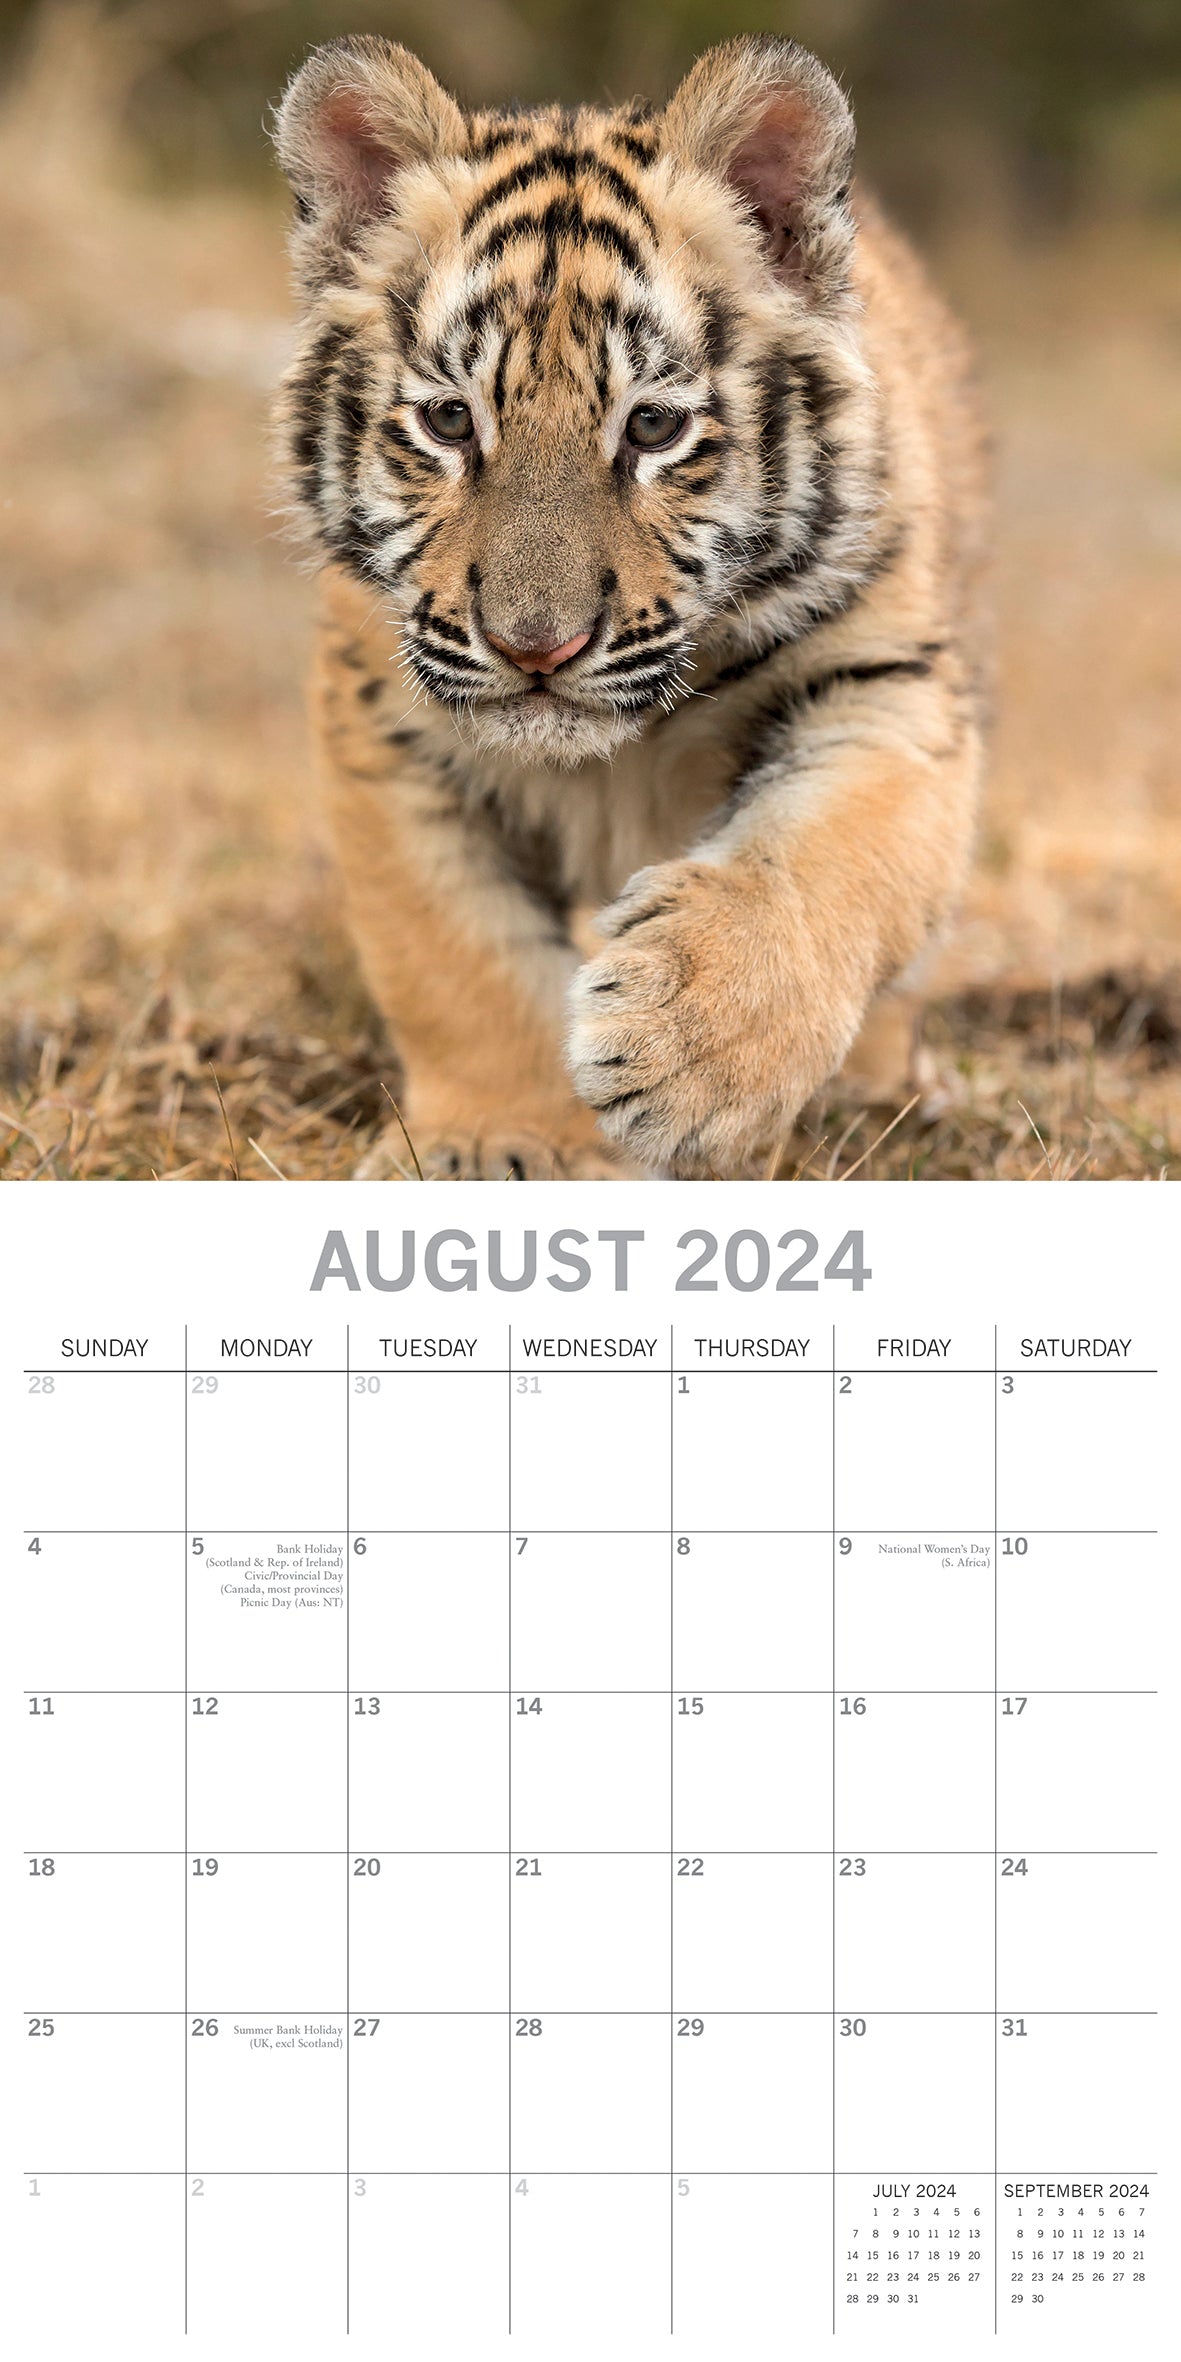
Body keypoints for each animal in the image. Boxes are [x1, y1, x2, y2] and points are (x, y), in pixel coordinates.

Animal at [272, 31, 988, 1178]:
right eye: (447, 422)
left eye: (652, 427)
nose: (536, 647)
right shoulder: (386, 730)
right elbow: (448, 951)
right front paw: (496, 1139)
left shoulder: (885, 683)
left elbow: (827, 863)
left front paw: (691, 1052)